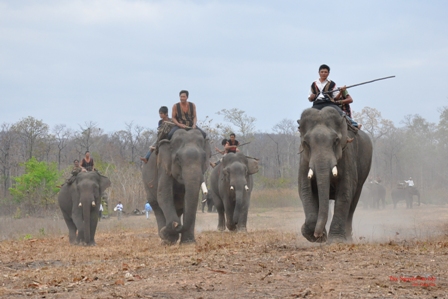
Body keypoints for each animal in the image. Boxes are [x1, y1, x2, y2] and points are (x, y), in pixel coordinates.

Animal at [298, 108, 374, 244]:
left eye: (336, 141)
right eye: (306, 143)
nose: (318, 234)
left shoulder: (347, 154)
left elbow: (344, 191)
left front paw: (336, 240)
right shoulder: (304, 160)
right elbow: (305, 190)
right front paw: (315, 237)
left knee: (353, 203)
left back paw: (348, 238)